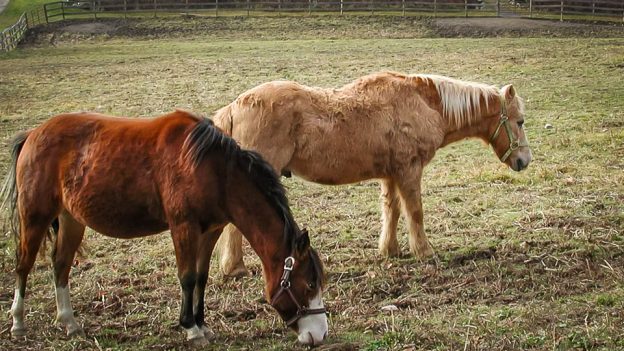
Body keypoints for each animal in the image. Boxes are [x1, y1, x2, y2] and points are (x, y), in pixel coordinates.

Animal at [0, 110, 330, 346]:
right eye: (309, 285)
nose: (321, 335)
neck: (214, 170)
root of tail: (33, 135)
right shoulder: (184, 227)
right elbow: (187, 278)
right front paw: (191, 329)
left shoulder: (210, 230)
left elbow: (201, 278)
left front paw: (202, 324)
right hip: (35, 217)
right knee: (23, 266)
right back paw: (17, 323)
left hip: (71, 220)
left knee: (61, 266)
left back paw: (69, 322)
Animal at [213, 72, 532, 278]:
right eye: (519, 121)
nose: (524, 160)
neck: (423, 103)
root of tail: (235, 106)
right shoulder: (409, 169)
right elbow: (415, 211)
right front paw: (424, 251)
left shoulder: (391, 174)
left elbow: (392, 210)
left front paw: (390, 249)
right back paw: (235, 268)